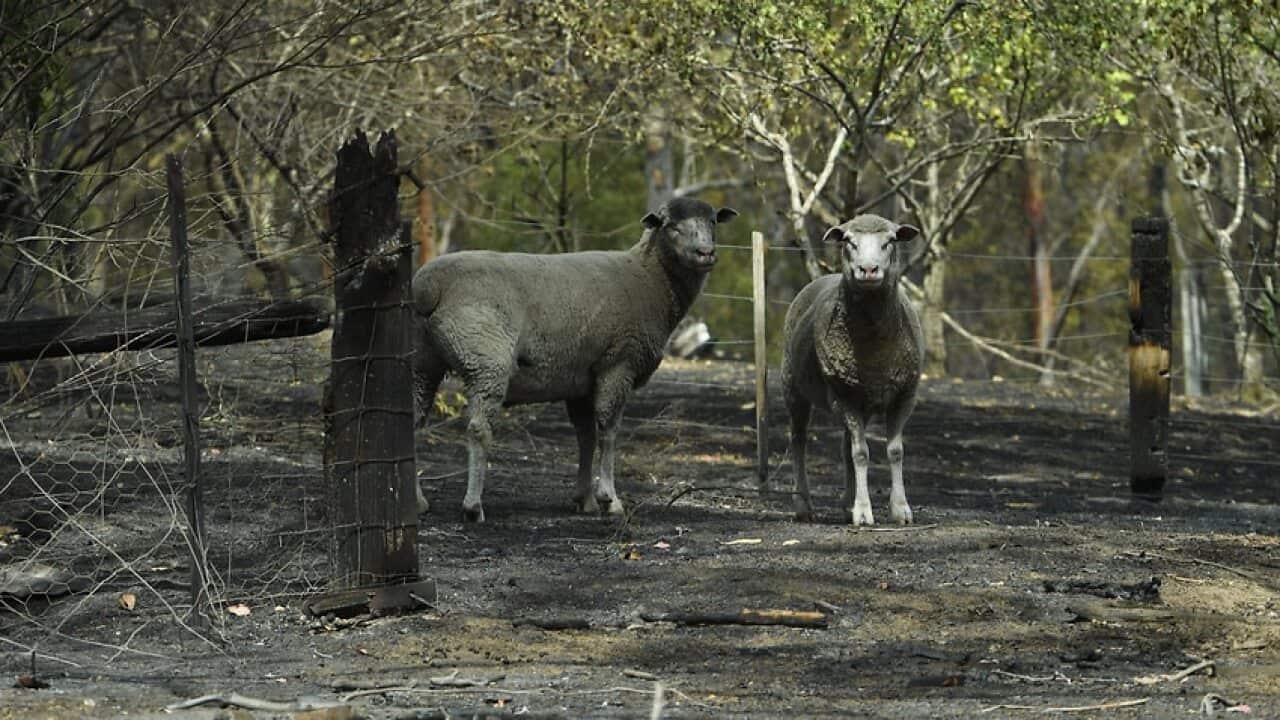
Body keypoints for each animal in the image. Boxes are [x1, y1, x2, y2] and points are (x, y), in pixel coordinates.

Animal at [411, 197, 738, 522]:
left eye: (712, 221)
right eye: (671, 226)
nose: (705, 253)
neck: (650, 278)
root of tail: (428, 285)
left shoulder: (580, 379)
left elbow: (586, 437)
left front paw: (586, 499)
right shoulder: (618, 363)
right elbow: (608, 432)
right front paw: (609, 499)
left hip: (421, 362)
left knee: (412, 422)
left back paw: (418, 501)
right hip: (486, 359)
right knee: (478, 429)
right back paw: (472, 506)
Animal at [780, 214, 923, 525]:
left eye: (890, 241)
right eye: (849, 242)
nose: (868, 270)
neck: (874, 352)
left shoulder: (904, 394)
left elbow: (895, 451)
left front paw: (900, 508)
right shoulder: (843, 396)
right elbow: (861, 454)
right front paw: (863, 511)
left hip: (859, 398)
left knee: (845, 446)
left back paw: (846, 502)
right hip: (795, 387)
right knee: (799, 441)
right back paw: (803, 505)